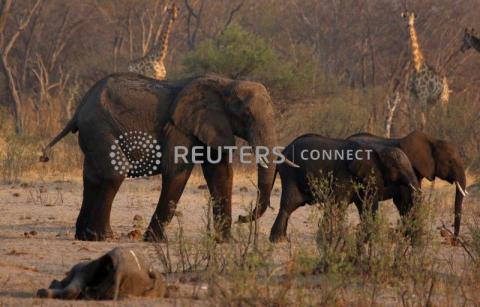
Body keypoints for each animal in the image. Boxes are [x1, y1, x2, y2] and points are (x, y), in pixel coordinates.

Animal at [42, 73, 280, 242]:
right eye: (246, 115)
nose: (243, 218)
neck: (227, 83)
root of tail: (80, 107)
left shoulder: (211, 125)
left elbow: (220, 175)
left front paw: (226, 242)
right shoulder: (180, 128)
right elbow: (177, 172)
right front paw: (155, 241)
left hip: (93, 133)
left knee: (91, 177)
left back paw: (84, 236)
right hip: (99, 126)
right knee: (113, 173)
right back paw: (104, 237)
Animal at [268, 134, 418, 243]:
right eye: (398, 168)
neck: (376, 148)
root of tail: (283, 152)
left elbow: (367, 205)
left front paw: (366, 238)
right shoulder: (345, 174)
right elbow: (339, 203)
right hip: (290, 174)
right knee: (289, 204)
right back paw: (278, 240)